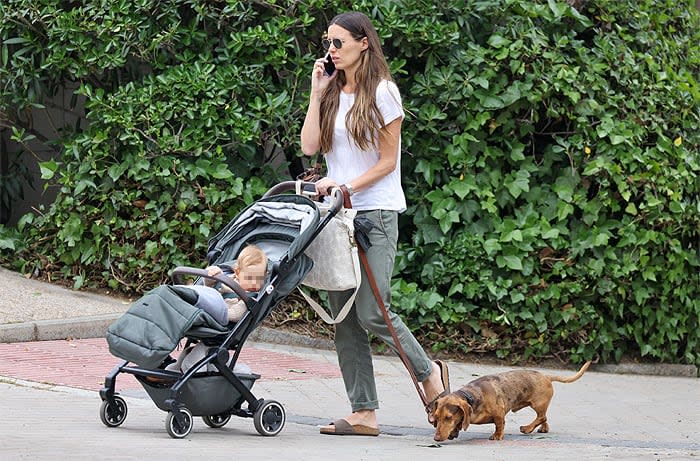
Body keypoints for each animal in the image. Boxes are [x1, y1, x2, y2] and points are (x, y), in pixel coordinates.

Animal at [432, 362, 592, 440]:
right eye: (436, 417)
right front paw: (454, 431)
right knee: (544, 418)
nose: (436, 439)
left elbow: (499, 425)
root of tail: (546, 376)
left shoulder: (499, 413)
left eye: (448, 417)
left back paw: (527, 428)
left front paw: (497, 436)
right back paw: (543, 428)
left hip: (538, 404)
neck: (472, 396)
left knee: (541, 417)